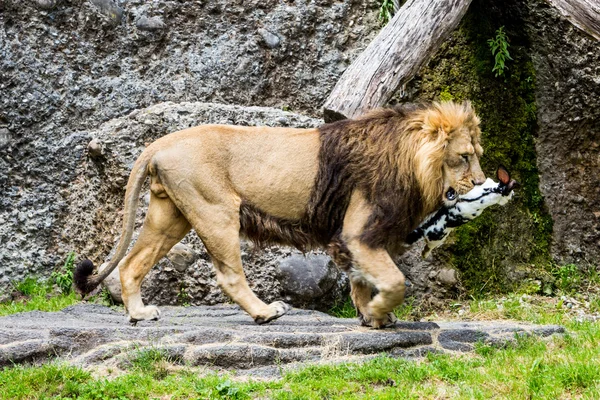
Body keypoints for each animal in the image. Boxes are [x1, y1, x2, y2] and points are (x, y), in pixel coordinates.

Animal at [76, 101, 488, 328]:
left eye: (476, 154)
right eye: (465, 156)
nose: (484, 182)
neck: (410, 159)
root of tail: (160, 142)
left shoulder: (358, 238)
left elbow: (361, 280)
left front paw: (373, 317)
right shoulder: (358, 231)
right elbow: (394, 281)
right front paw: (378, 310)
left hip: (170, 216)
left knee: (131, 264)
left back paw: (139, 314)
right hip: (216, 212)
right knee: (229, 276)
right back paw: (265, 312)